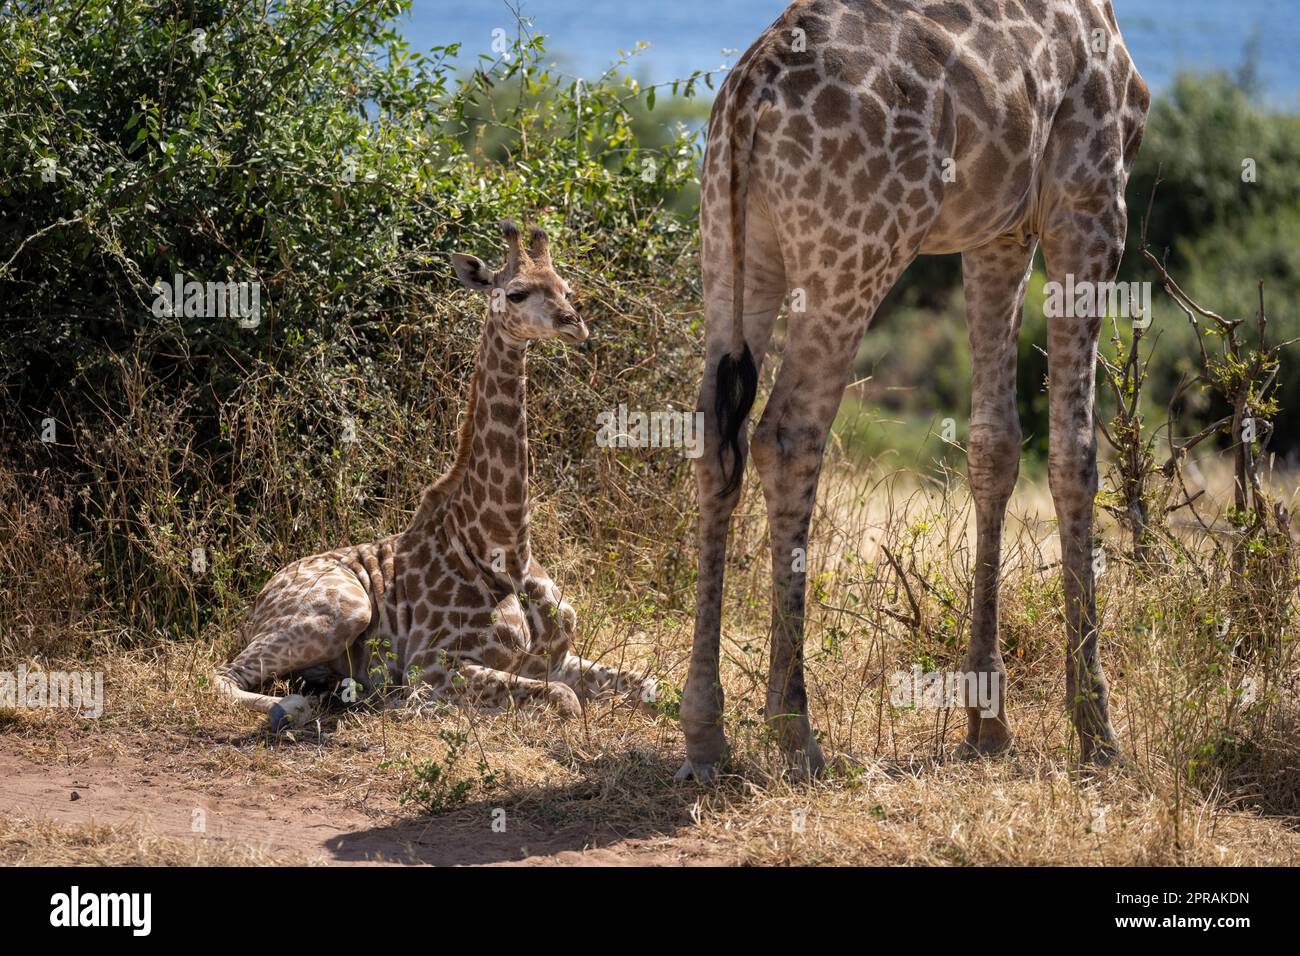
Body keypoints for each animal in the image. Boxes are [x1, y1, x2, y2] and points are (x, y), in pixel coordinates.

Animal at [218, 222, 660, 733]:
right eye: (516, 292)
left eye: (566, 290)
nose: (574, 324)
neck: (504, 551)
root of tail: (256, 604)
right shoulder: (434, 664)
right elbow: (565, 700)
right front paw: (413, 706)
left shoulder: (555, 659)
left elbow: (649, 685)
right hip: (346, 609)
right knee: (225, 674)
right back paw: (294, 708)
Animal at [681, 0, 1149, 780]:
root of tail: (748, 99)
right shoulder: (1087, 204)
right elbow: (1075, 456)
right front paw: (1097, 732)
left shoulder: (999, 232)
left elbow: (994, 446)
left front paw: (988, 720)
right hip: (854, 252)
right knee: (789, 436)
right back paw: (797, 733)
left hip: (731, 243)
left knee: (719, 440)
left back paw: (705, 734)